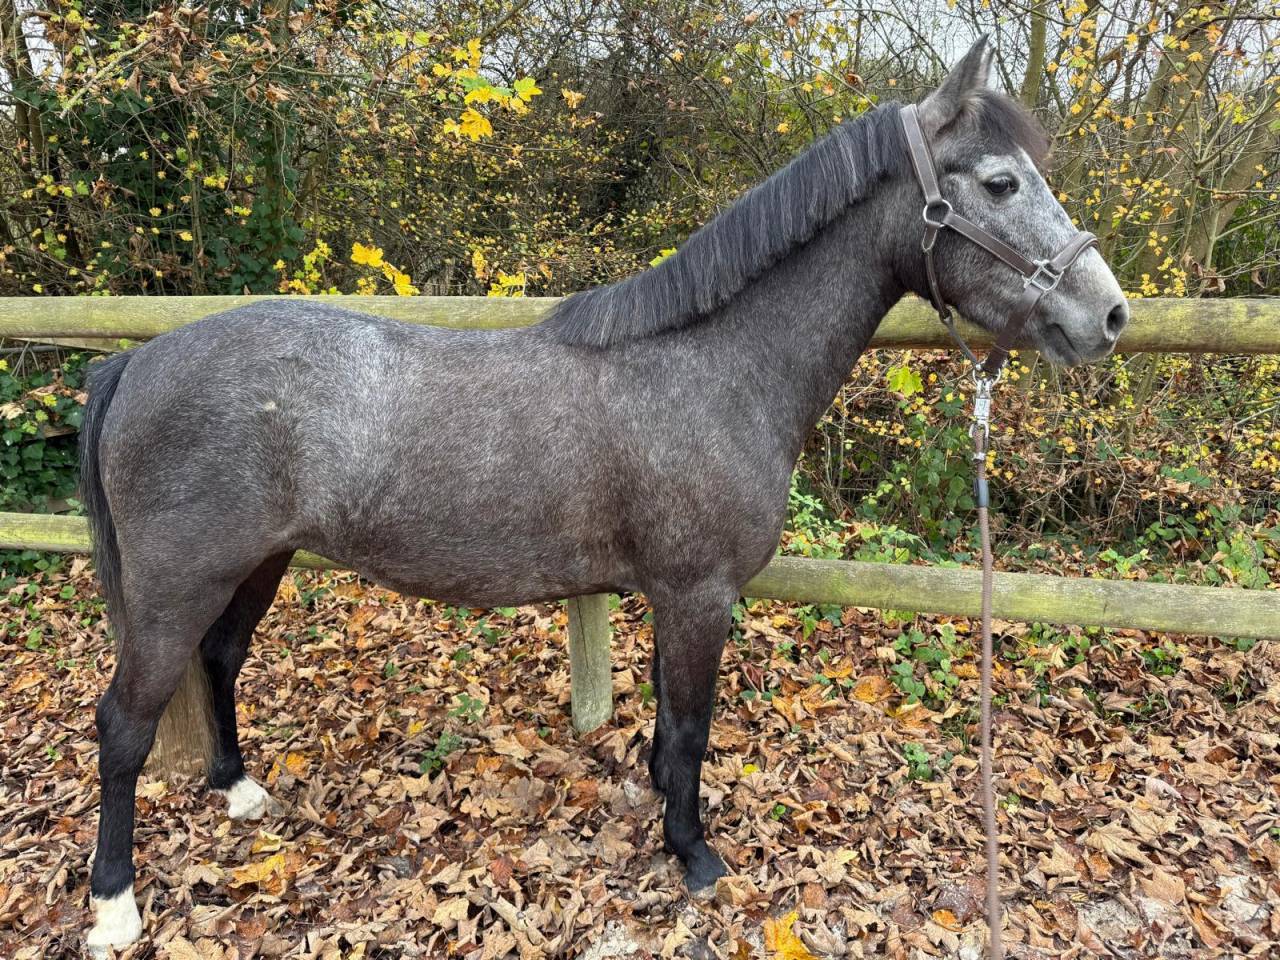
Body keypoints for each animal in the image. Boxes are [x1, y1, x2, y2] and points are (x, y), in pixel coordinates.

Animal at [80, 36, 1127, 952]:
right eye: (1000, 182)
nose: (1108, 316)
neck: (713, 367)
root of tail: (133, 362)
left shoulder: (672, 595)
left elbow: (667, 727)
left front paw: (661, 816)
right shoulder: (700, 594)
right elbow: (692, 729)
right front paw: (695, 855)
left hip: (258, 562)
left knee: (218, 661)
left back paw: (238, 790)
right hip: (179, 582)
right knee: (125, 723)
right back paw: (114, 905)